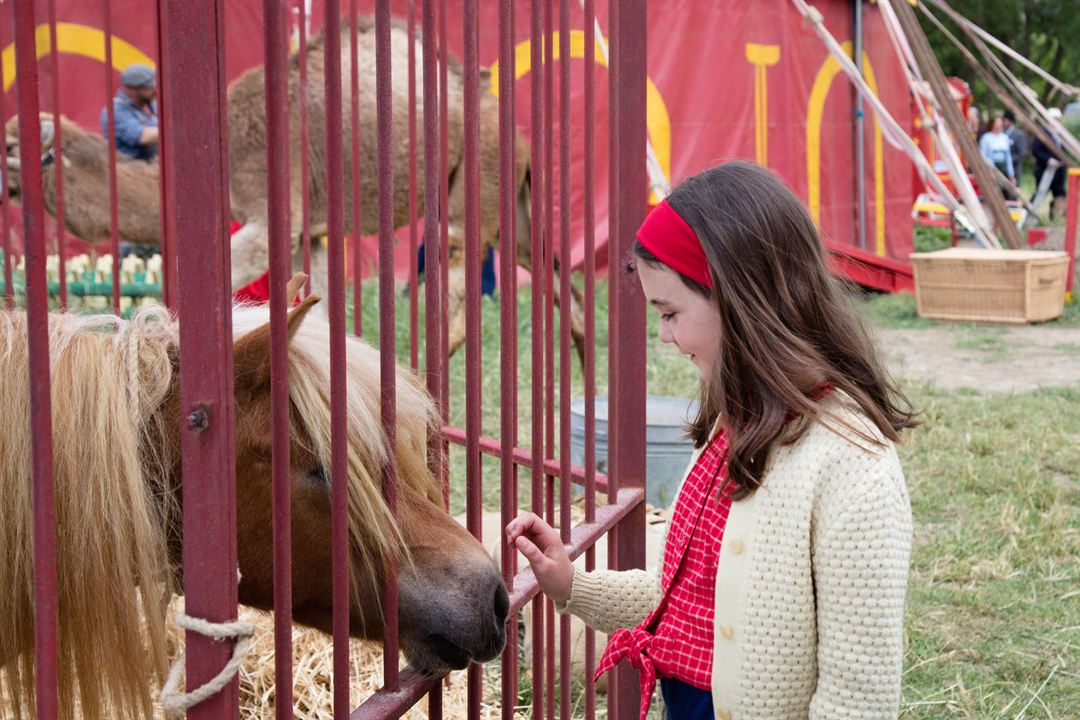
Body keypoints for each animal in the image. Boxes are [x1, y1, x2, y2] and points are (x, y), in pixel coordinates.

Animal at [6, 18, 583, 360]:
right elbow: (322, 312)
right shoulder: (317, 231)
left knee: (462, 295)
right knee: (563, 285)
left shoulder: (268, 216)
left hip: (474, 186)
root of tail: (517, 129)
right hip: (513, 206)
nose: (5, 190)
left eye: (13, 148)